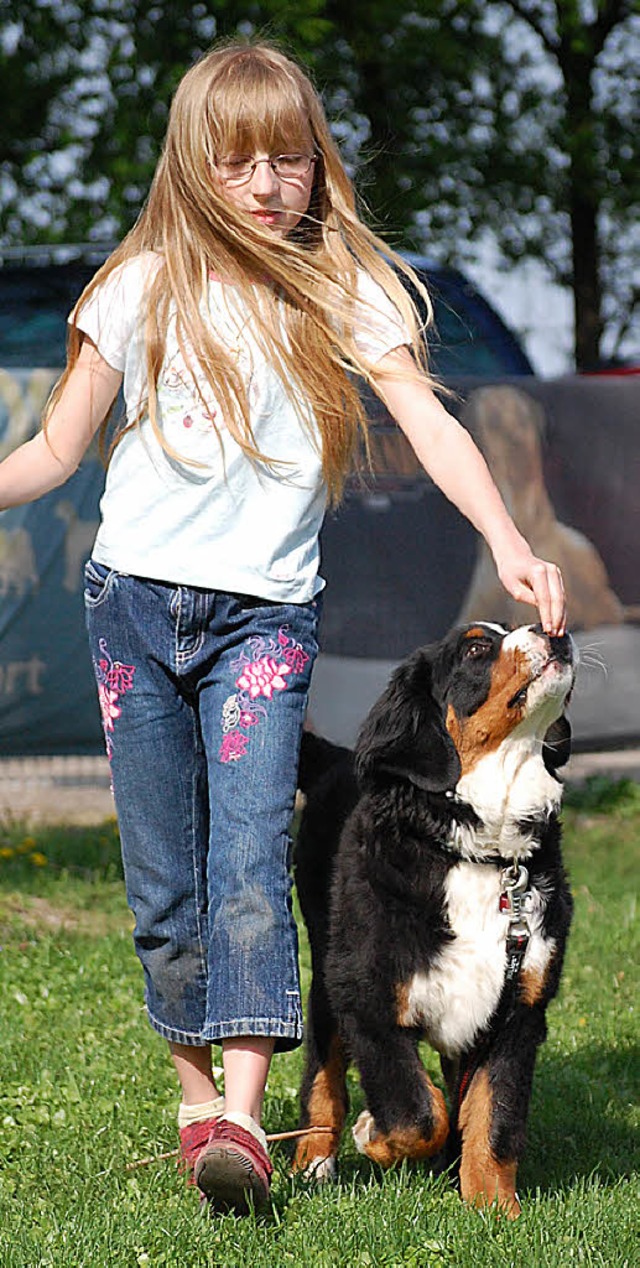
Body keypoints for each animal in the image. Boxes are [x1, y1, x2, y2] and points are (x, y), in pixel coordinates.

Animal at [292, 623, 572, 1217]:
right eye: (476, 648)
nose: (554, 631)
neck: (484, 853)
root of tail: (336, 758)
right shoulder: (369, 999)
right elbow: (418, 1112)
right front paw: (371, 1133)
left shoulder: (518, 1009)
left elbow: (493, 1117)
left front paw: (493, 1207)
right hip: (329, 967)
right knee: (323, 1073)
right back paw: (314, 1159)